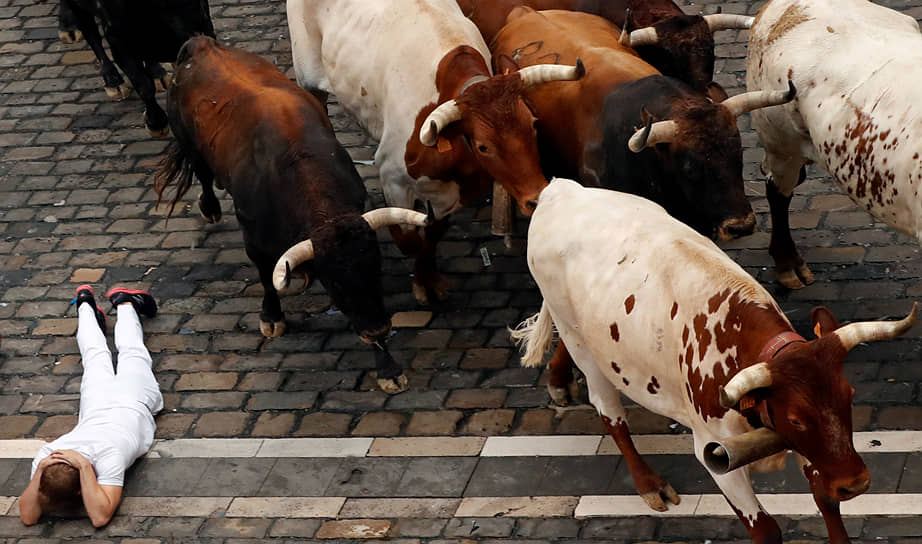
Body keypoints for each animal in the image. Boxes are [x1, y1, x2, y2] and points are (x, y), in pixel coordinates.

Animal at [153, 38, 426, 394]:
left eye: (375, 269)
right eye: (334, 282)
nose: (378, 329)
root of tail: (200, 45)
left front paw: (388, 367)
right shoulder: (254, 237)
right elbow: (266, 276)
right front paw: (271, 318)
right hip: (190, 144)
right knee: (202, 173)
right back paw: (210, 208)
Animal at [288, 0, 584, 304]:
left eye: (533, 125)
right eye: (483, 146)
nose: (536, 198)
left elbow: (432, 233)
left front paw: (428, 279)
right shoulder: (392, 177)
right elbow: (408, 238)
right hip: (306, 74)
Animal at [512, 178, 916, 544]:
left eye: (850, 397)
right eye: (797, 418)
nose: (856, 483)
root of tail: (559, 190)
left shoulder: (814, 449)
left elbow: (826, 502)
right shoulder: (717, 455)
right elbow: (766, 530)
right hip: (577, 337)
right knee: (608, 410)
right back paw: (649, 483)